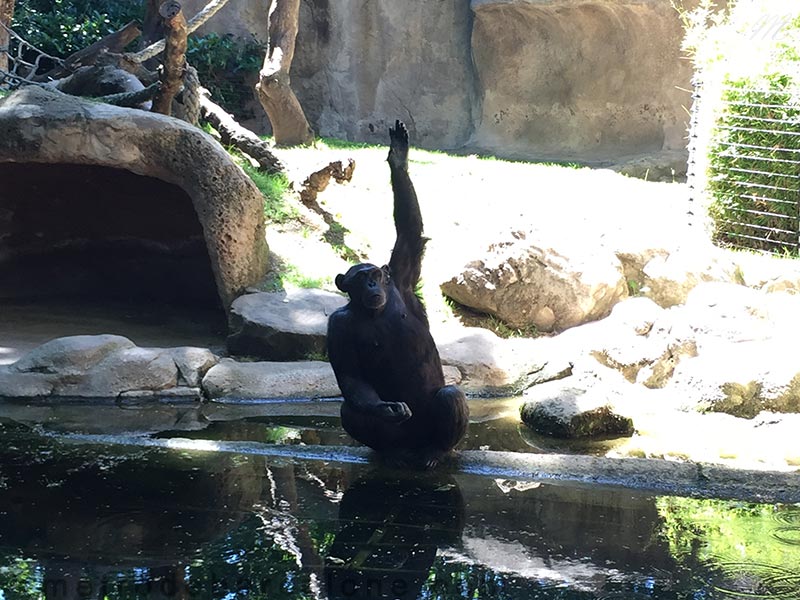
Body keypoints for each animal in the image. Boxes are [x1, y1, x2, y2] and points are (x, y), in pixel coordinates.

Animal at [326, 120, 468, 468]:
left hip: (431, 432)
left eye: (376, 275)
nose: (373, 286)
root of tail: (414, 446)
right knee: (349, 410)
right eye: (360, 279)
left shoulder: (401, 277)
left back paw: (436, 452)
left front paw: (398, 158)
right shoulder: (337, 325)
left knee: (451, 396)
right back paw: (390, 452)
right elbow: (350, 376)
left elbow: (409, 232)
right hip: (396, 437)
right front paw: (386, 408)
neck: (374, 311)